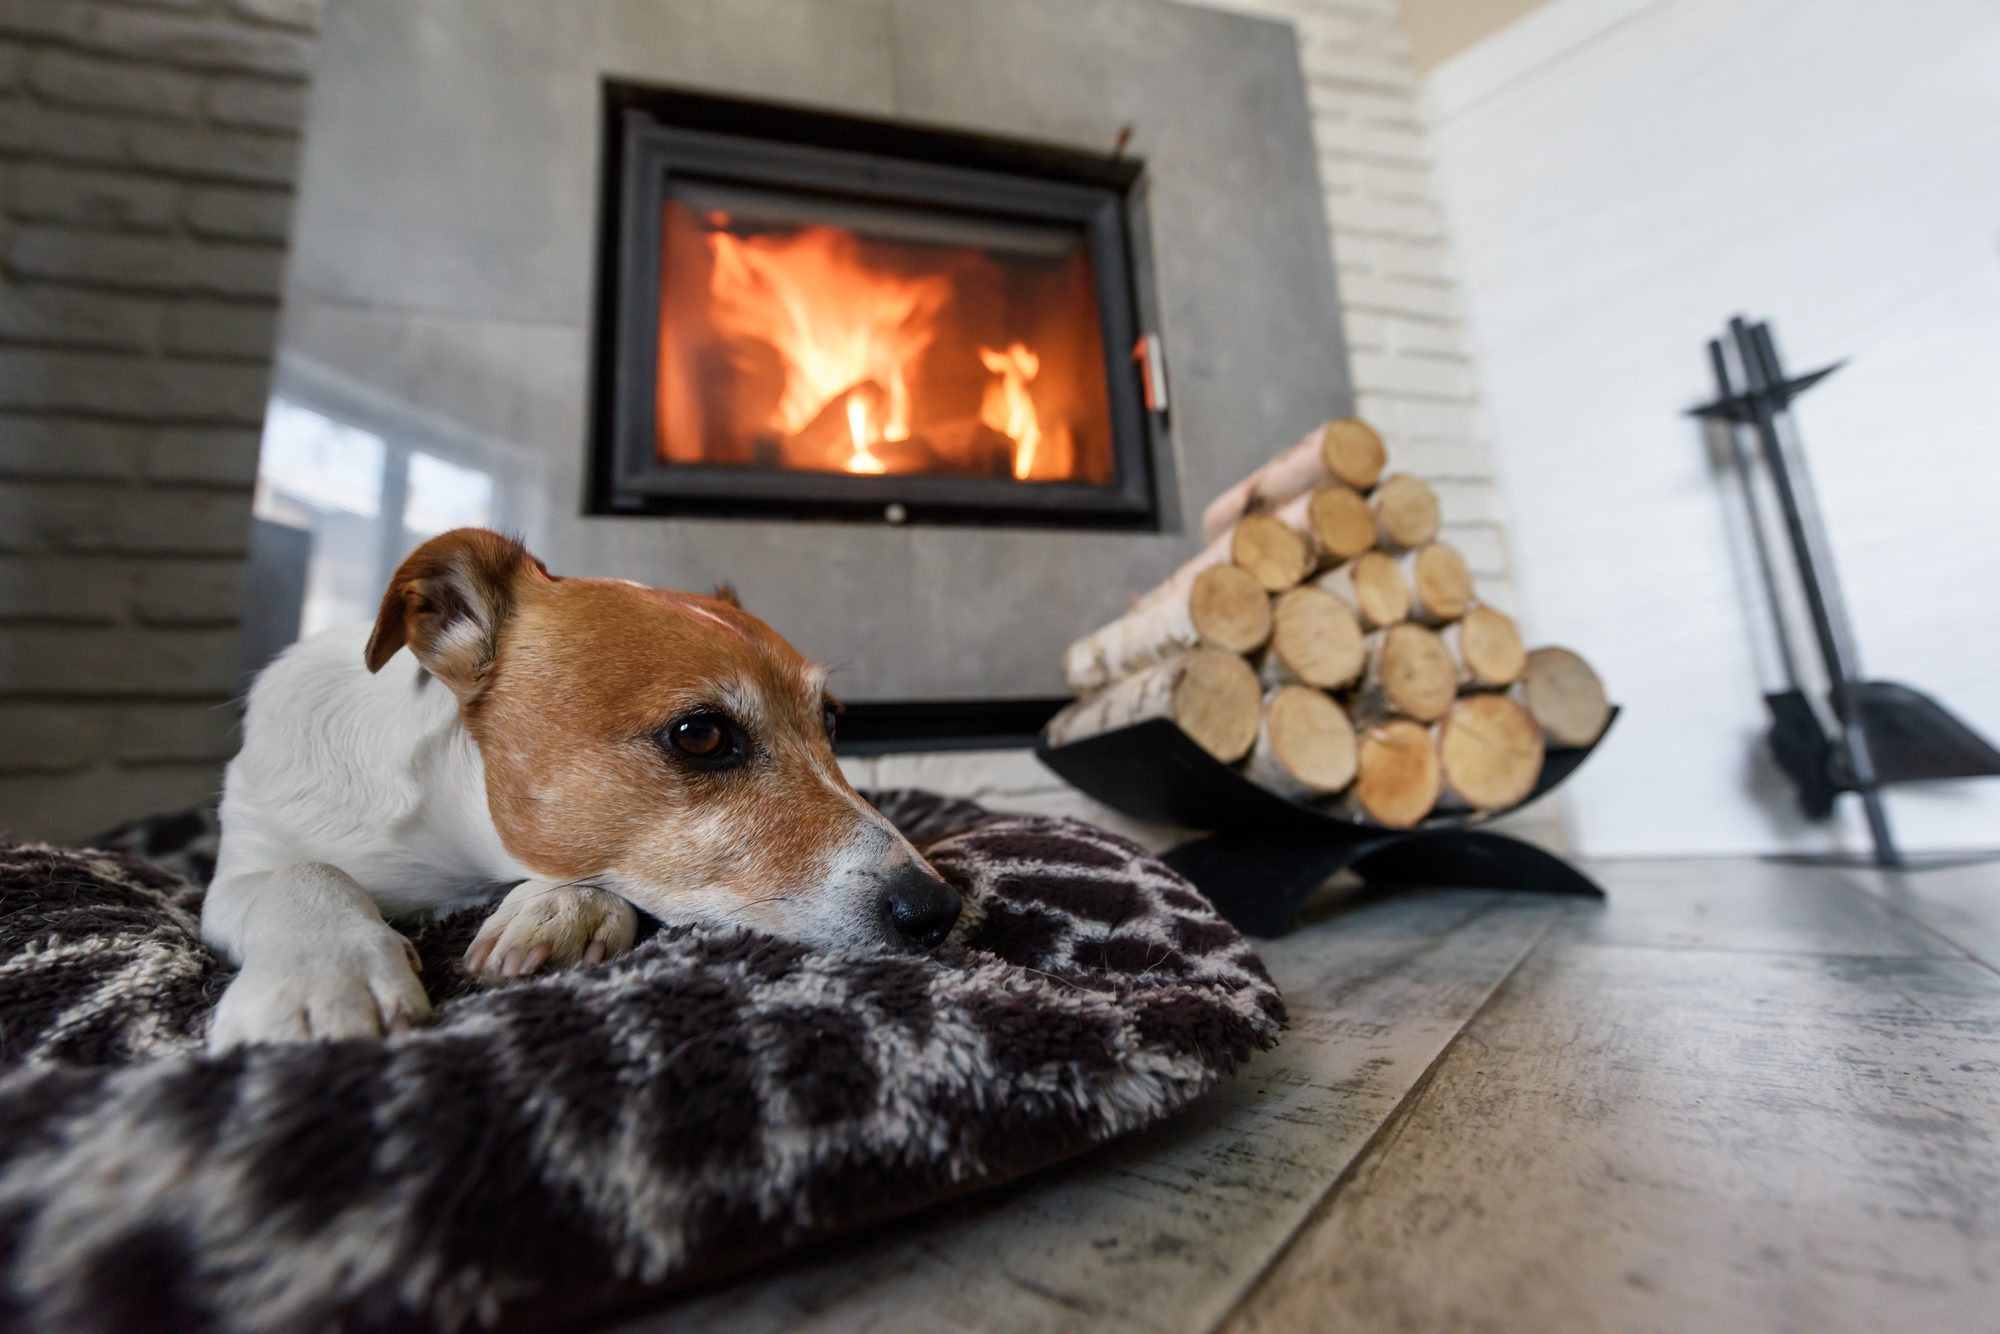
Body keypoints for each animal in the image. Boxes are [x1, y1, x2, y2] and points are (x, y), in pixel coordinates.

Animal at [203, 528, 960, 1056]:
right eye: (701, 735)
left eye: (829, 720)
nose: (938, 910)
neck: (442, 844)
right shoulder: (240, 866)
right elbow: (305, 871)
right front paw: (326, 977)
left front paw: (562, 908)